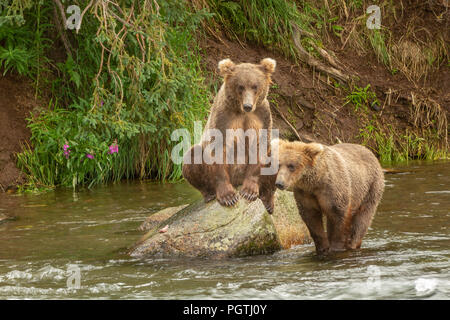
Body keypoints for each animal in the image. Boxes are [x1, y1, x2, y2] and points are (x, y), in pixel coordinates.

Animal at [183, 58, 278, 214]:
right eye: (240, 86)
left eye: (255, 86)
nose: (247, 106)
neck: (241, 111)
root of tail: (236, 181)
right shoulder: (224, 116)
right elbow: (217, 147)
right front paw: (228, 197)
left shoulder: (262, 115)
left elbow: (261, 146)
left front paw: (249, 191)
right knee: (193, 154)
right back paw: (209, 194)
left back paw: (267, 200)